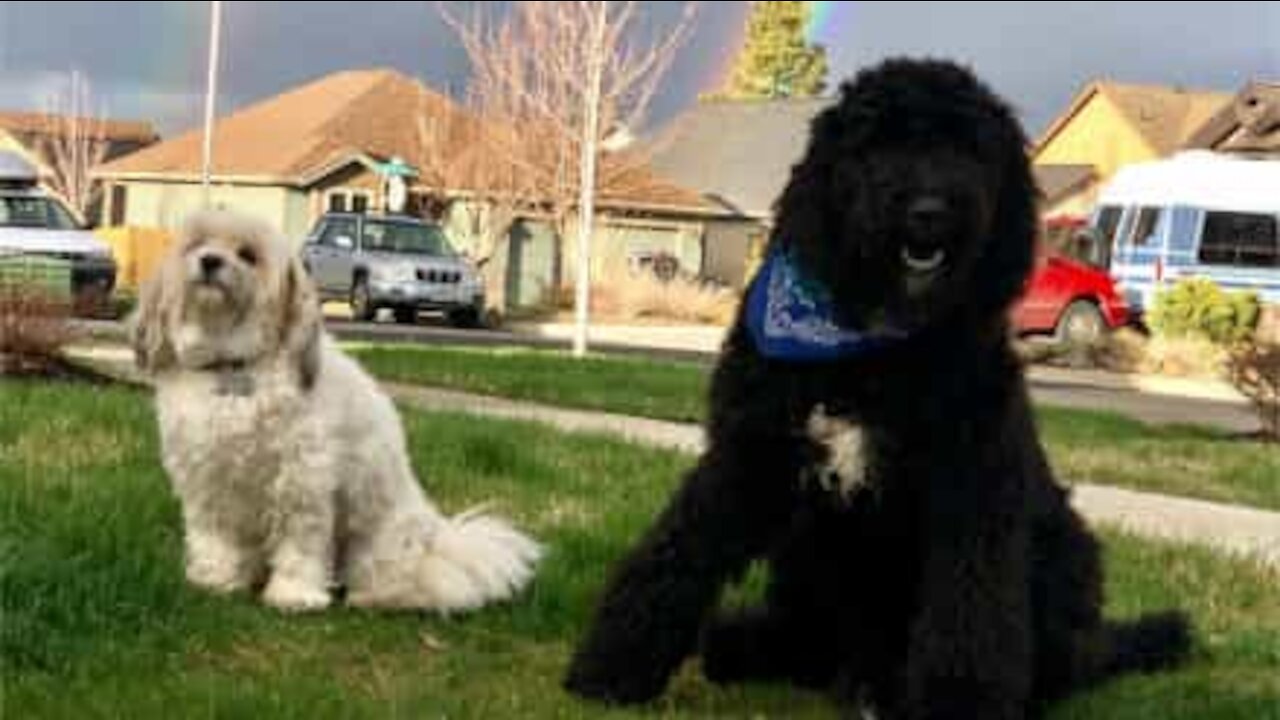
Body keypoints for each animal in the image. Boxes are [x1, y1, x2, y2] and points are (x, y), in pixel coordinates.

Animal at [132, 208, 542, 609]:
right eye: (197, 244)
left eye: (248, 255)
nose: (210, 260)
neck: (234, 366)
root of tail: (434, 538)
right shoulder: (206, 477)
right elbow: (214, 536)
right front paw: (216, 578)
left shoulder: (302, 478)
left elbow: (300, 542)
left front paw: (294, 594)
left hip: (377, 540)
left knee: (396, 578)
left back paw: (374, 594)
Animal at [560, 58, 1187, 712]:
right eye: (877, 143)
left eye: (969, 147)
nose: (929, 211)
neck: (871, 348)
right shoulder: (748, 455)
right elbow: (677, 550)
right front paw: (612, 664)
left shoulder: (971, 484)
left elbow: (971, 607)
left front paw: (961, 702)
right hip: (805, 553)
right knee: (804, 646)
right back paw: (769, 653)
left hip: (1061, 552)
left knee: (1052, 662)